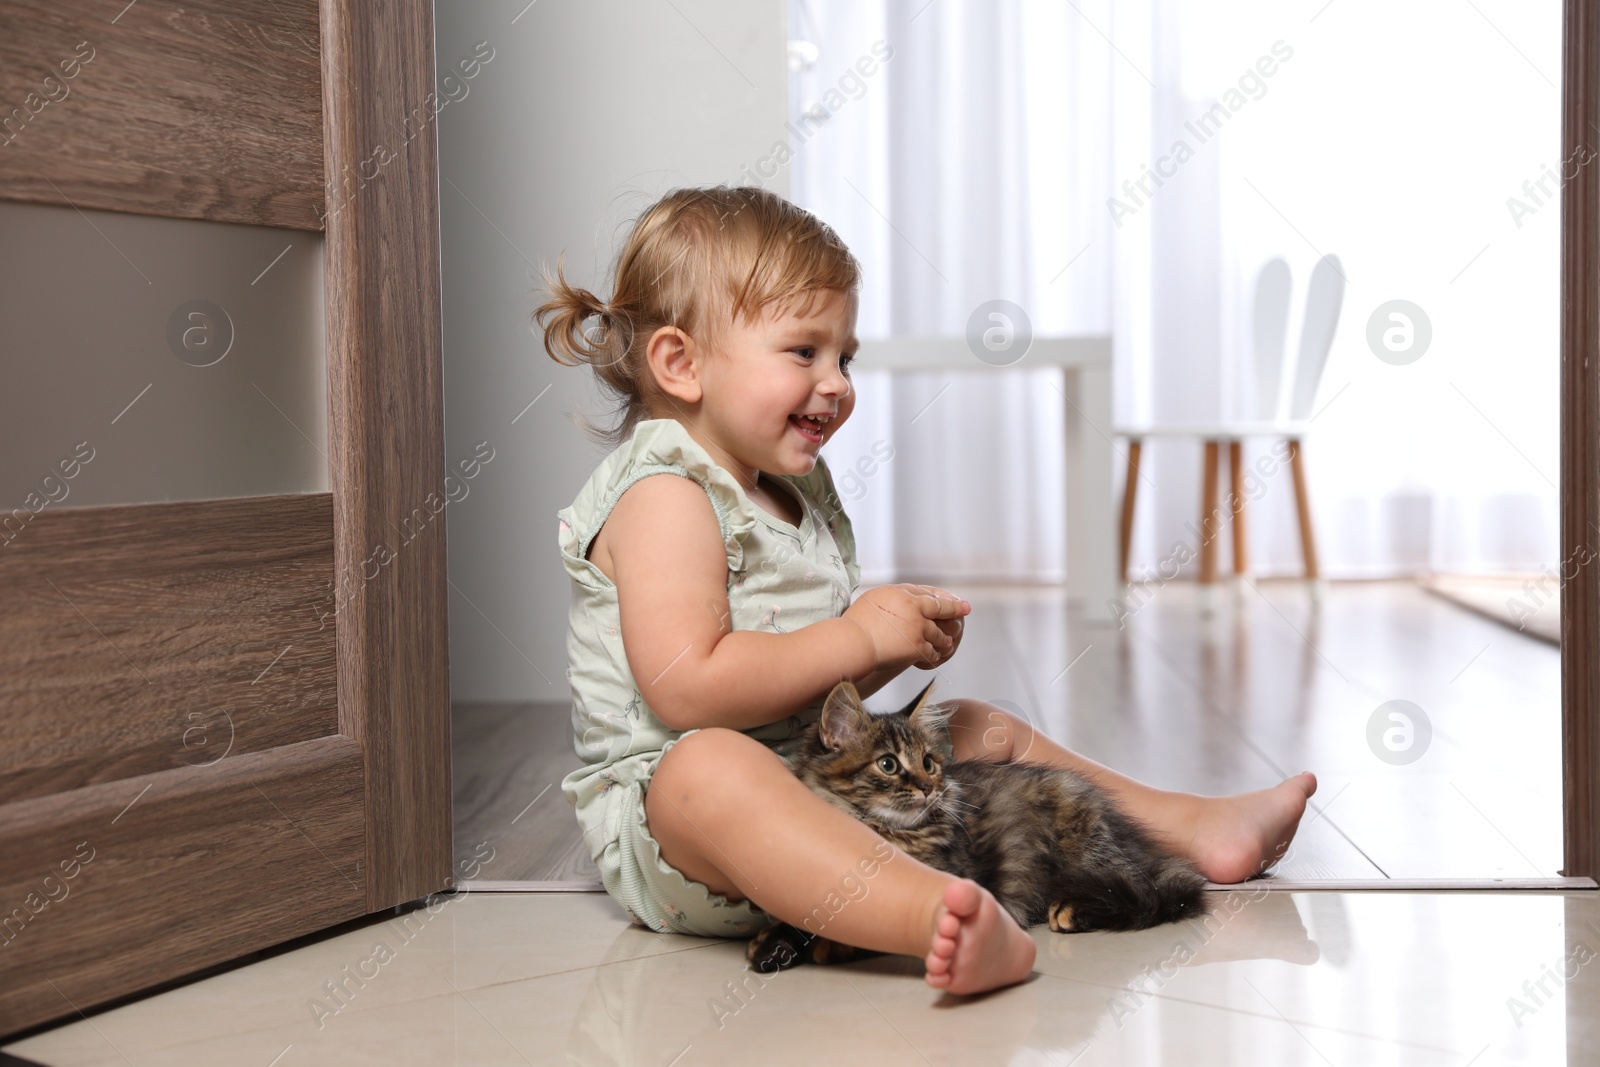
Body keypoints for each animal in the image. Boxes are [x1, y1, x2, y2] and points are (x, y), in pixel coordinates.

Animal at [745, 681, 1203, 972]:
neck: (881, 835)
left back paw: (1073, 909)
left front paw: (828, 945)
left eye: (928, 763)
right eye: (888, 764)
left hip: (1088, 848)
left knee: (1148, 893)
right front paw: (773, 943)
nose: (929, 787)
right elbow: (803, 915)